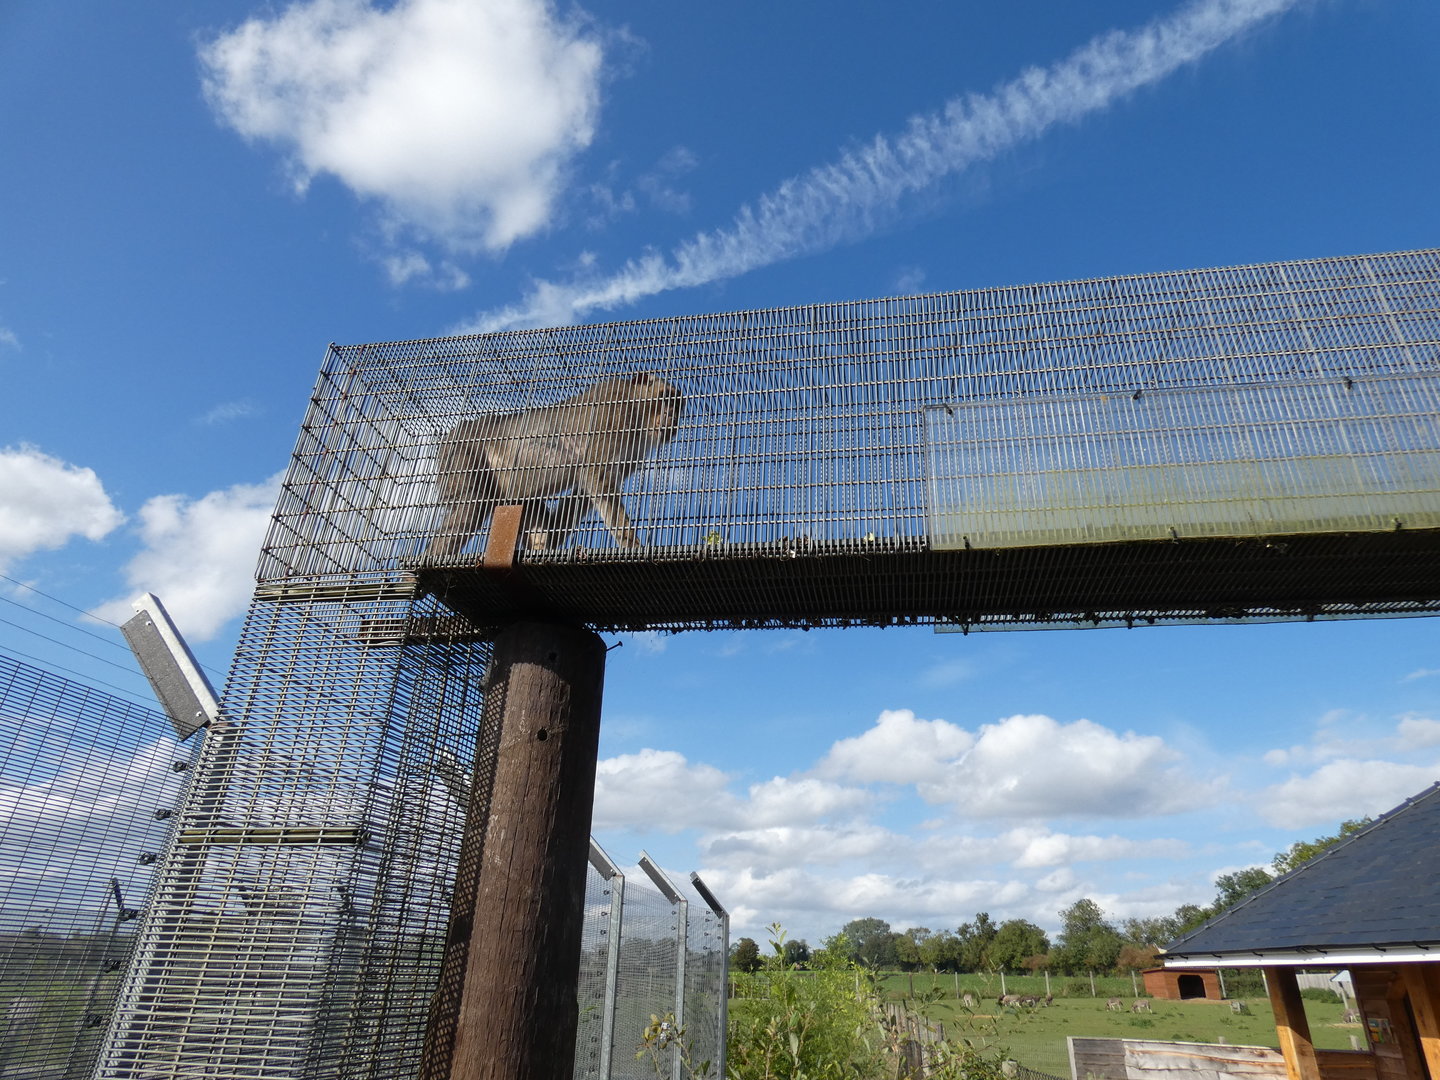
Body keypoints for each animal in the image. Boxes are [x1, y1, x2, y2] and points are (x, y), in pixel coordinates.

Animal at [429, 372, 684, 559]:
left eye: (677, 405)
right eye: (665, 397)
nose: (673, 417)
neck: (636, 407)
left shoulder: (635, 450)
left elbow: (585, 489)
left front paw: (553, 534)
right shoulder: (613, 415)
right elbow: (595, 474)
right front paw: (631, 543)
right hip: (462, 454)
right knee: (472, 503)